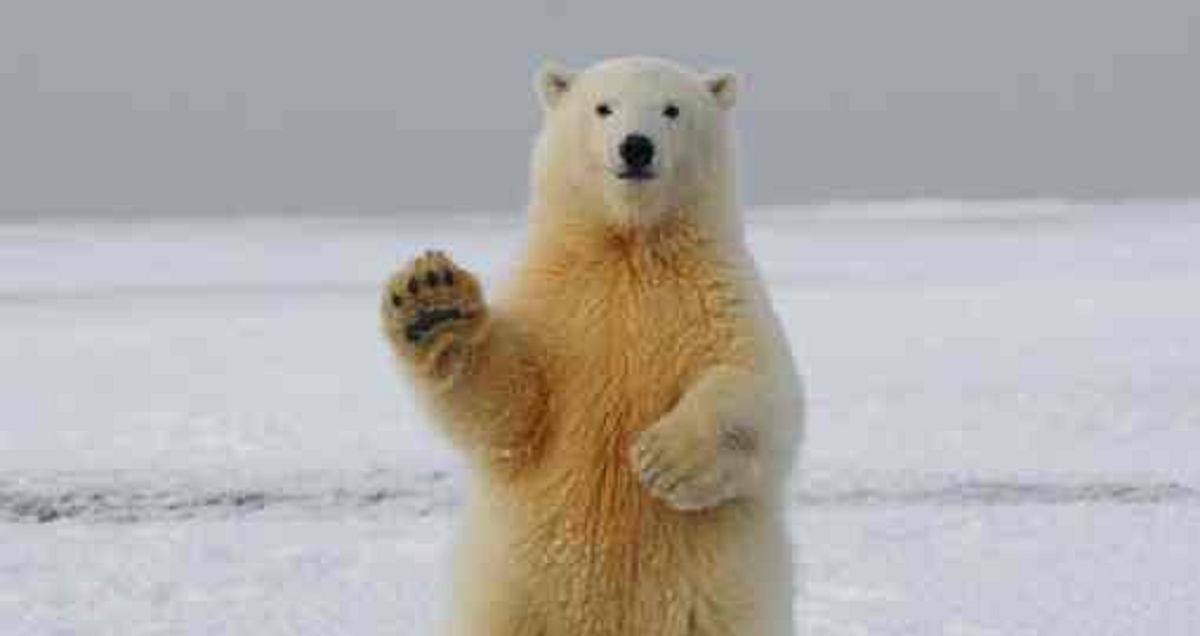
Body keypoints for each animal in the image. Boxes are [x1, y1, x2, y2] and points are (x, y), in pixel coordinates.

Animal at [381, 57, 804, 636]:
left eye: (672, 109)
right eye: (604, 107)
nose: (636, 146)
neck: (628, 246)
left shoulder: (715, 296)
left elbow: (758, 386)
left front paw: (663, 460)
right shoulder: (558, 306)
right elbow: (513, 409)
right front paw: (433, 302)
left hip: (717, 605)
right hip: (513, 597)